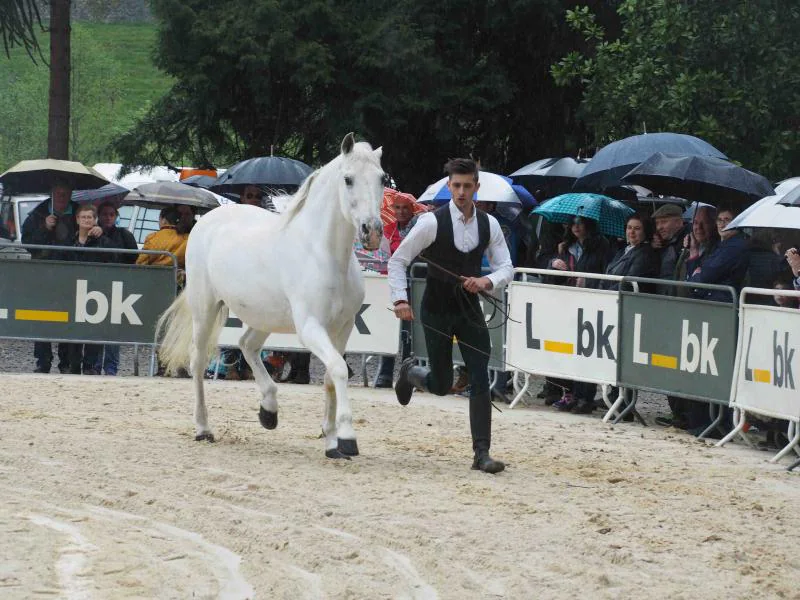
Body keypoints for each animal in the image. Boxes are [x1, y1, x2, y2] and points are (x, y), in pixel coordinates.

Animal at [155, 134, 384, 458]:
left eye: (382, 178)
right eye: (348, 179)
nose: (372, 231)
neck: (323, 253)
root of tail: (209, 217)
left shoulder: (344, 326)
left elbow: (330, 376)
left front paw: (332, 443)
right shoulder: (310, 327)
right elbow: (338, 370)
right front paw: (348, 438)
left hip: (263, 317)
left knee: (247, 345)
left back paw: (269, 410)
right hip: (205, 309)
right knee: (198, 360)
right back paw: (203, 429)